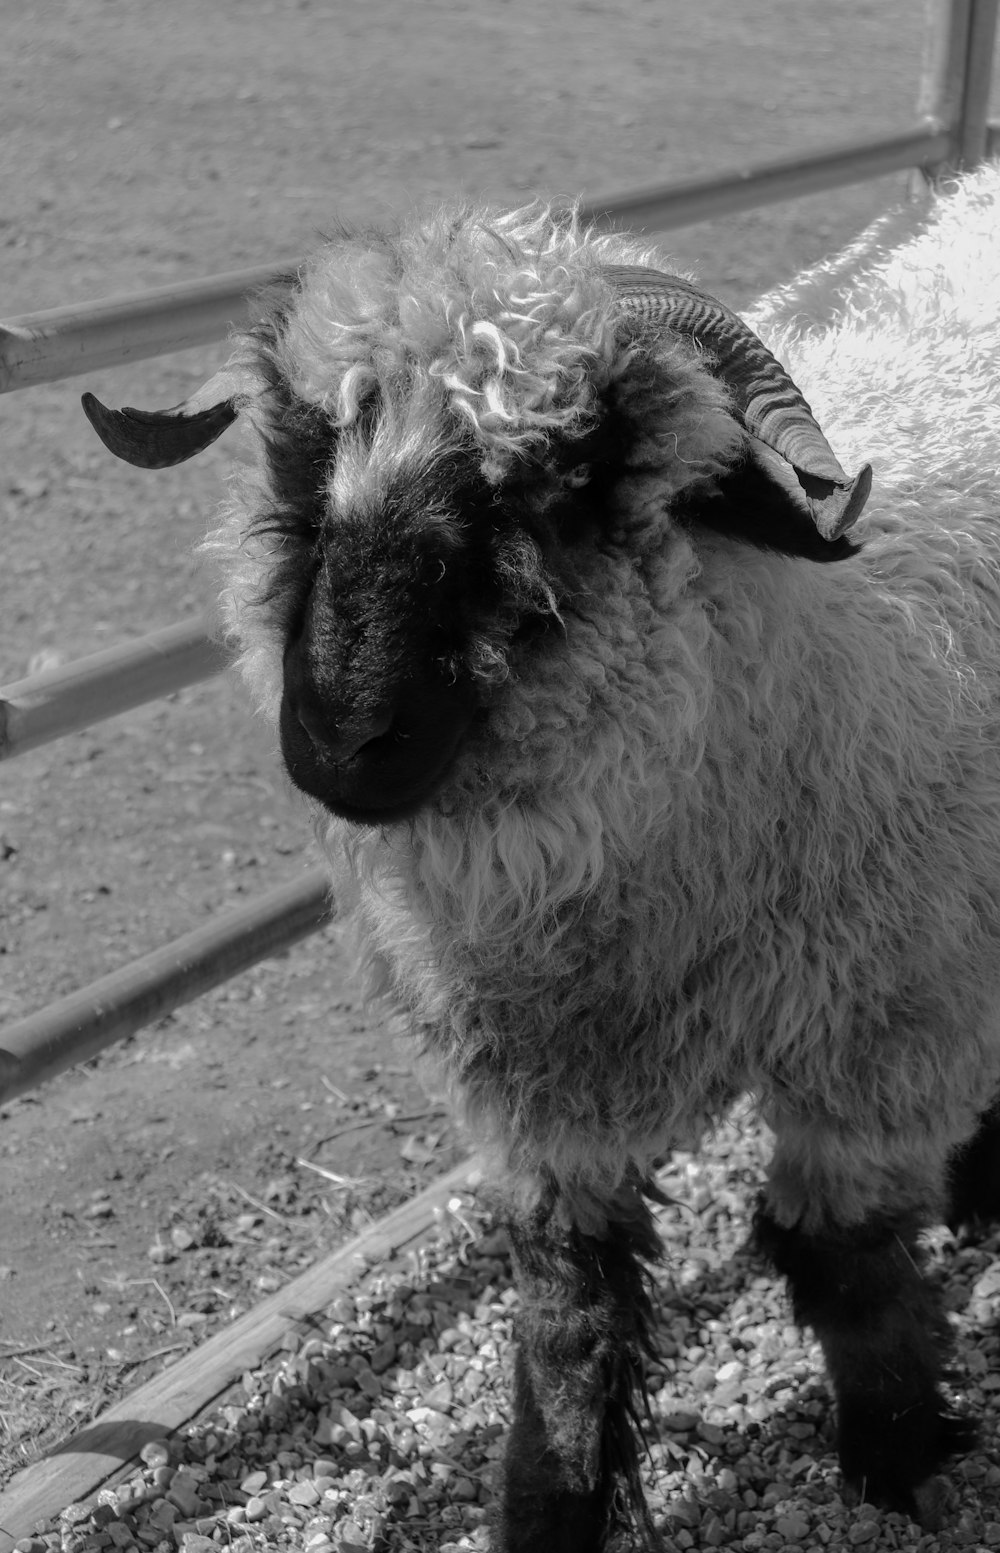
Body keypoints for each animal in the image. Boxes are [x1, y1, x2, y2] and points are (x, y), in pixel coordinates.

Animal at [79, 163, 1000, 1546]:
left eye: (562, 474)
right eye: (301, 452)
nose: (342, 739)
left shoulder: (885, 1040)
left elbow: (841, 1258)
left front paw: (903, 1453)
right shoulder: (540, 1094)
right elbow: (567, 1316)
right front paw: (547, 1504)